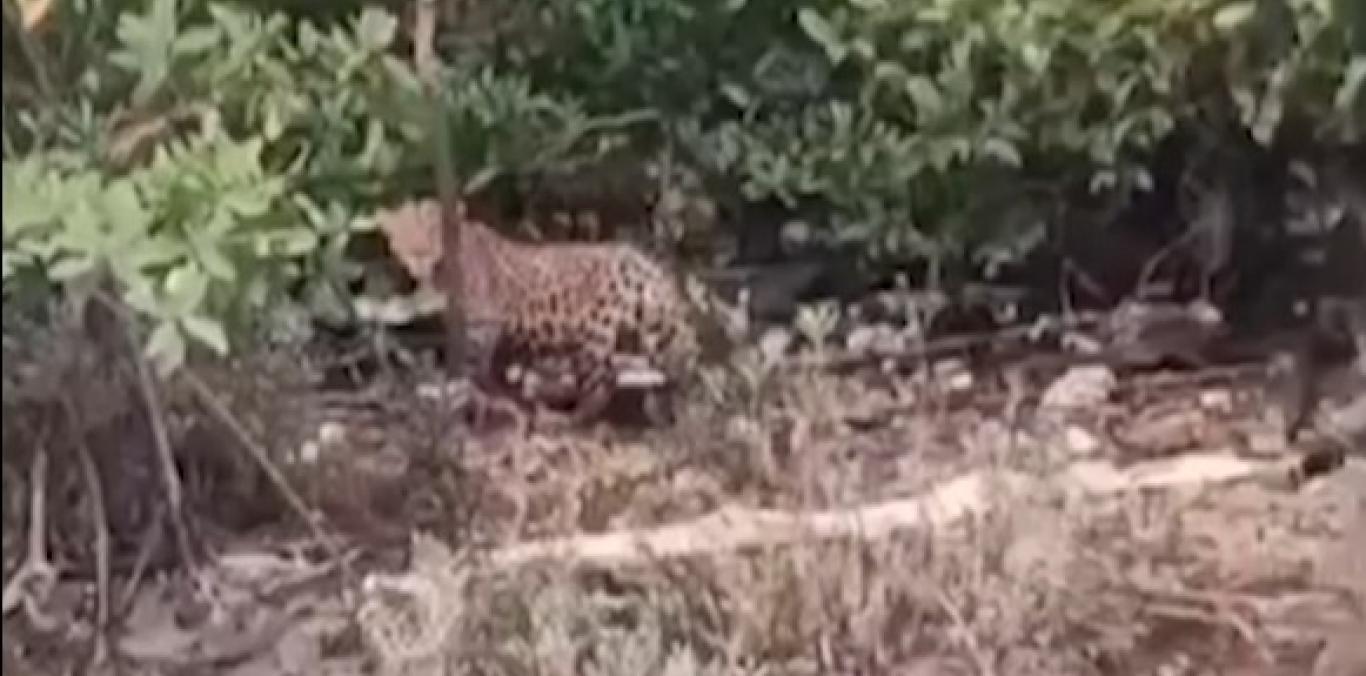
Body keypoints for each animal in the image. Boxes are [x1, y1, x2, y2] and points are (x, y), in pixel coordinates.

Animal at [436, 198, 703, 430]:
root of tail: (641, 265)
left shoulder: (481, 326)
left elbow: (474, 365)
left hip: (593, 337)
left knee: (604, 381)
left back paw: (563, 418)